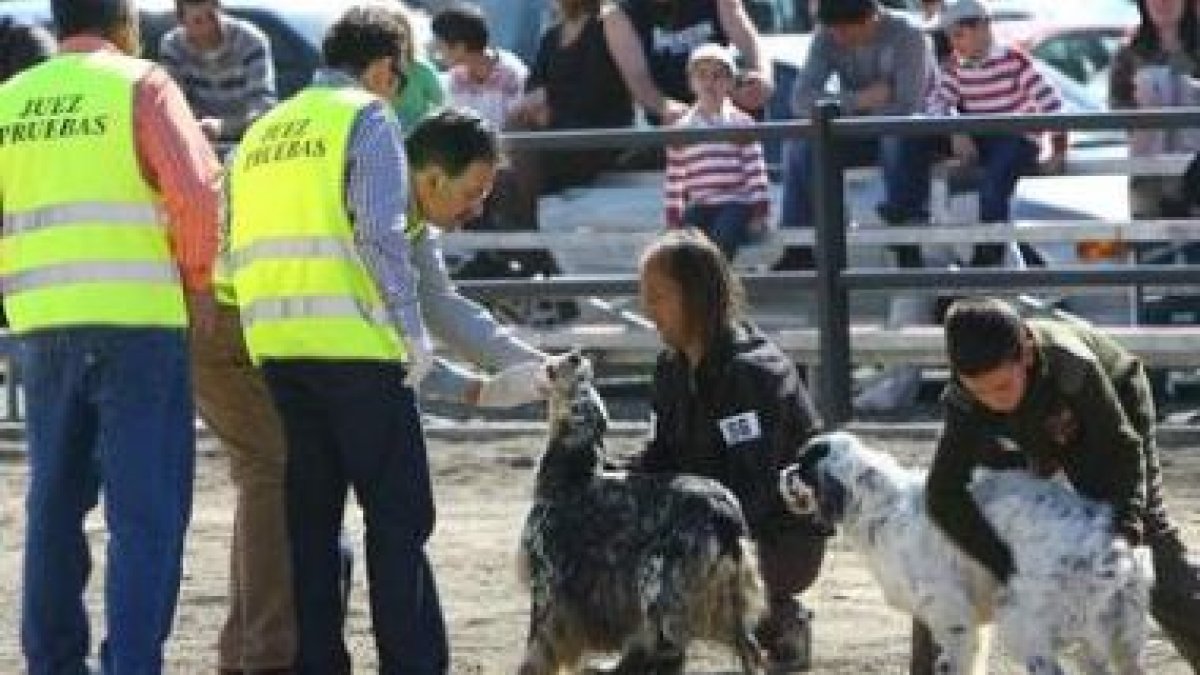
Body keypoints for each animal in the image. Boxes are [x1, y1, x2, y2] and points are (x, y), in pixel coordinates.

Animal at [518, 348, 763, 667]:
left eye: (579, 376)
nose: (577, 353)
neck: (572, 474)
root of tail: (725, 512)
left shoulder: (547, 585)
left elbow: (536, 651)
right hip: (724, 601)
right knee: (751, 651)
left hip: (659, 588)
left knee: (660, 645)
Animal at [777, 429, 1152, 672]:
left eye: (802, 466)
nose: (783, 472)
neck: (882, 504)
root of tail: (1118, 550)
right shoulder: (972, 623)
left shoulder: (951, 616)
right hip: (1117, 643)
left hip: (1023, 624)